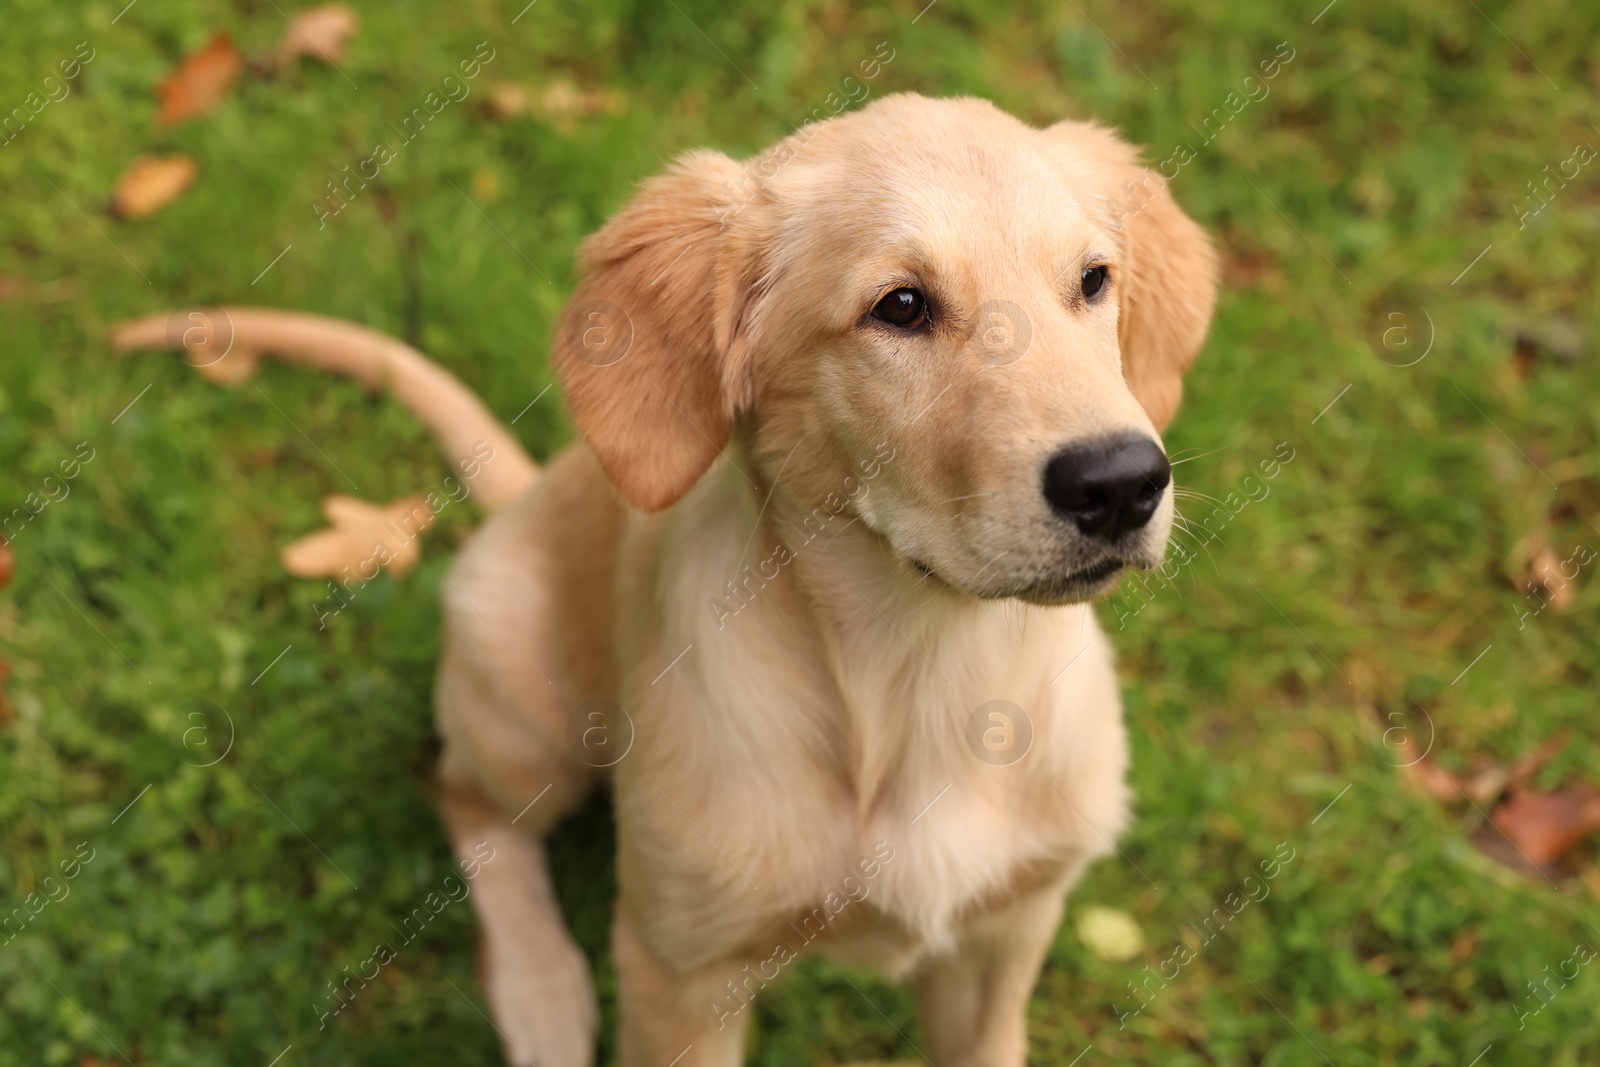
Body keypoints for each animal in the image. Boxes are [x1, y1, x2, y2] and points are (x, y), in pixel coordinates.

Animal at [116, 89, 1209, 1067]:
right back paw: (543, 994)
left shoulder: (1004, 933)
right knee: (465, 800)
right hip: (524, 711)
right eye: (899, 306)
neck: (922, 670)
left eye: (1093, 281)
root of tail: (523, 495)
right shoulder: (681, 969)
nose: (1121, 482)